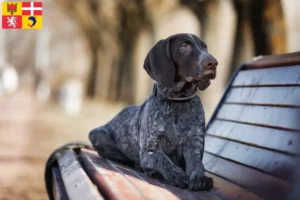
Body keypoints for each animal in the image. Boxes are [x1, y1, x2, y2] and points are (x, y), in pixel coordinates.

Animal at [89, 33, 218, 191]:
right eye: (184, 46)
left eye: (204, 47)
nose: (213, 63)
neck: (178, 102)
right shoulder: (149, 151)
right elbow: (162, 158)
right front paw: (176, 174)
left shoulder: (195, 145)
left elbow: (197, 164)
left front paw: (199, 177)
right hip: (97, 135)